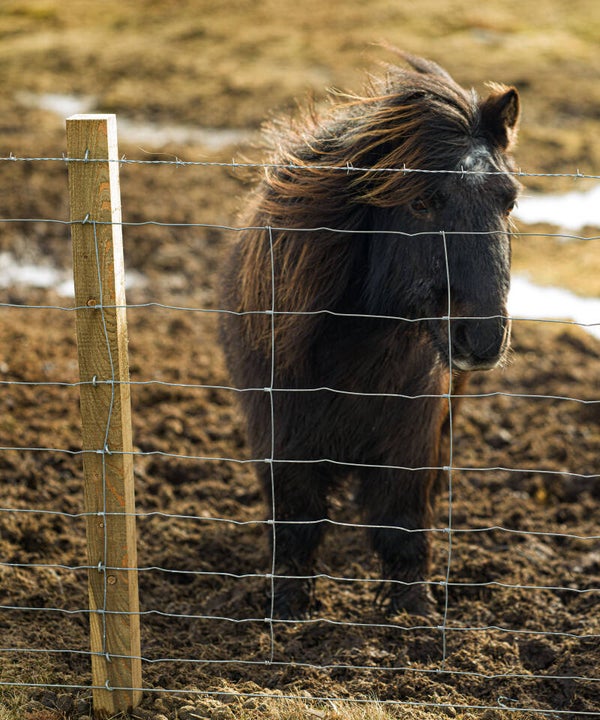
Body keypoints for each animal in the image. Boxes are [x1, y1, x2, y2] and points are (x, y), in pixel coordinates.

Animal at [219, 52, 520, 619]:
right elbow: (297, 525)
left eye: (508, 201)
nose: (482, 338)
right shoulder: (281, 436)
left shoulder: (410, 437)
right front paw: (287, 608)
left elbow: (403, 526)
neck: (350, 356)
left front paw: (414, 615)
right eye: (421, 203)